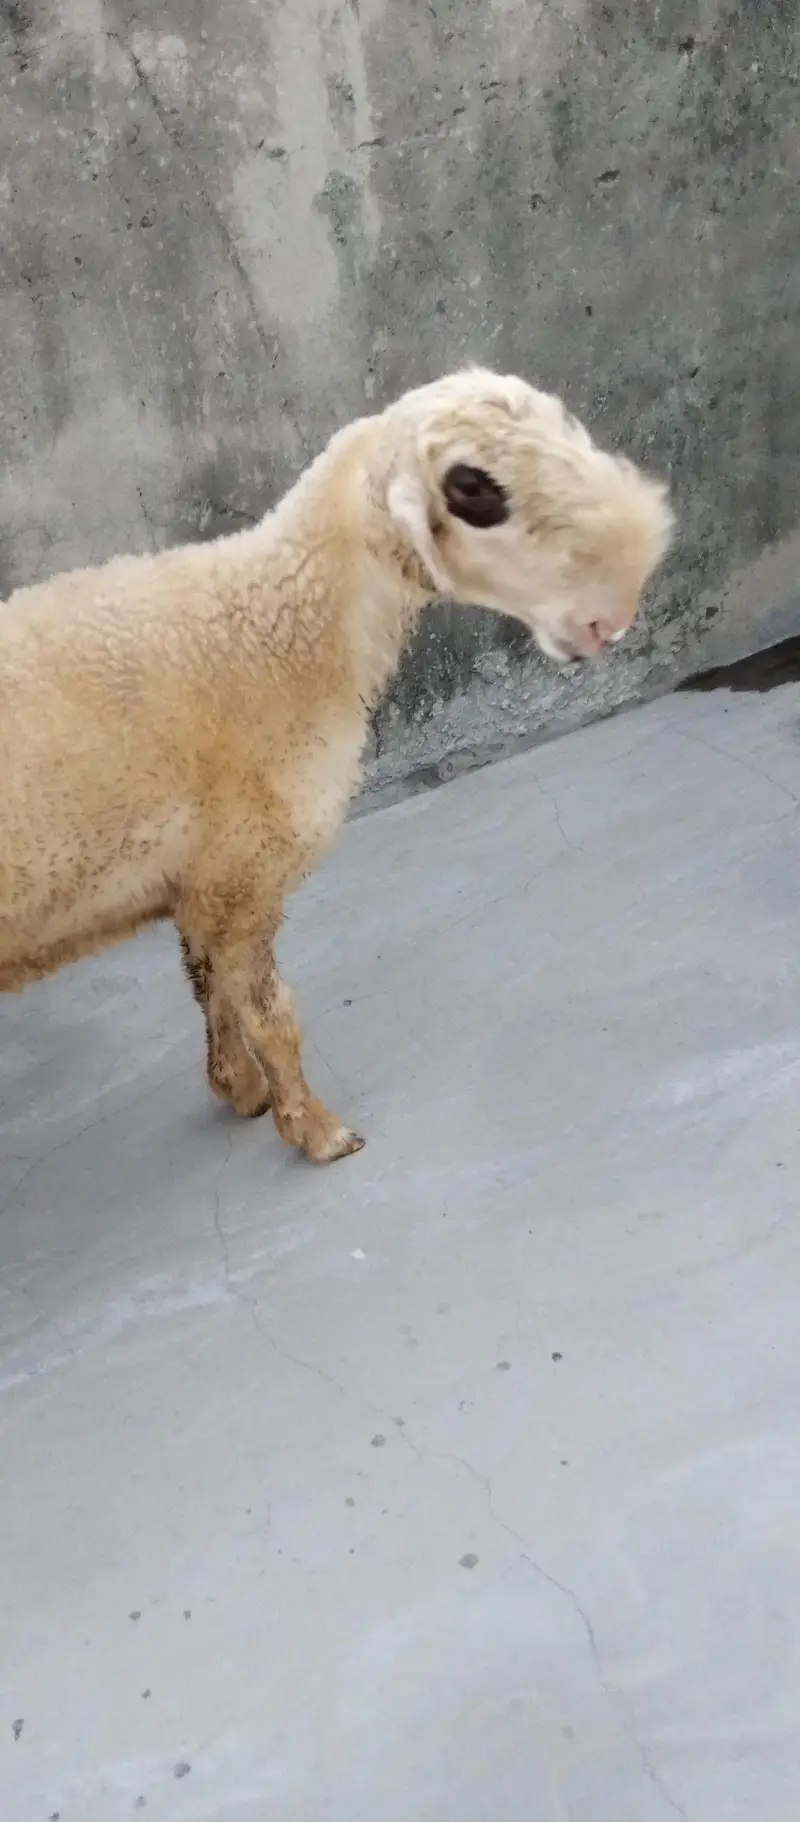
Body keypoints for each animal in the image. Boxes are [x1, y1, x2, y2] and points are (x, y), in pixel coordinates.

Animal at [0, 368, 673, 1162]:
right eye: (472, 487)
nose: (612, 617)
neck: (273, 631)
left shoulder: (201, 876)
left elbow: (209, 989)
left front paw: (240, 1090)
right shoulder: (243, 872)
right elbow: (272, 1017)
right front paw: (319, 1133)